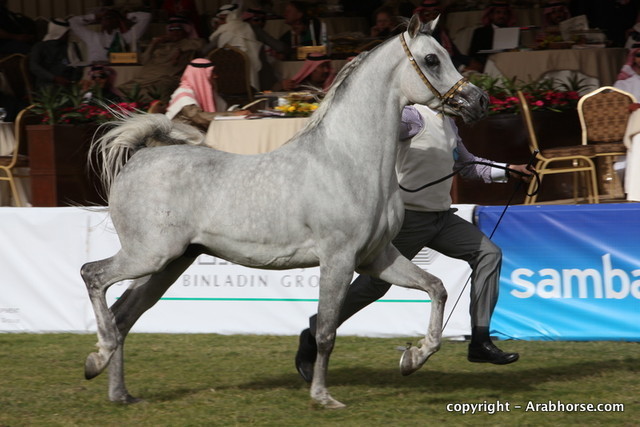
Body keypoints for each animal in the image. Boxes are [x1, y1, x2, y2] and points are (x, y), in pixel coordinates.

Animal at [81, 14, 488, 409]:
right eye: (432, 59)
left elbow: (436, 288)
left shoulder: (377, 256)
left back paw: (120, 393)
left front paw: (412, 358)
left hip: (169, 263)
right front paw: (323, 397)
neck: (347, 162)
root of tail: (141, 156)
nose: (479, 101)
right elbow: (326, 332)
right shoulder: (338, 259)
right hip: (150, 255)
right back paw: (96, 359)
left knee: (124, 315)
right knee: (93, 276)